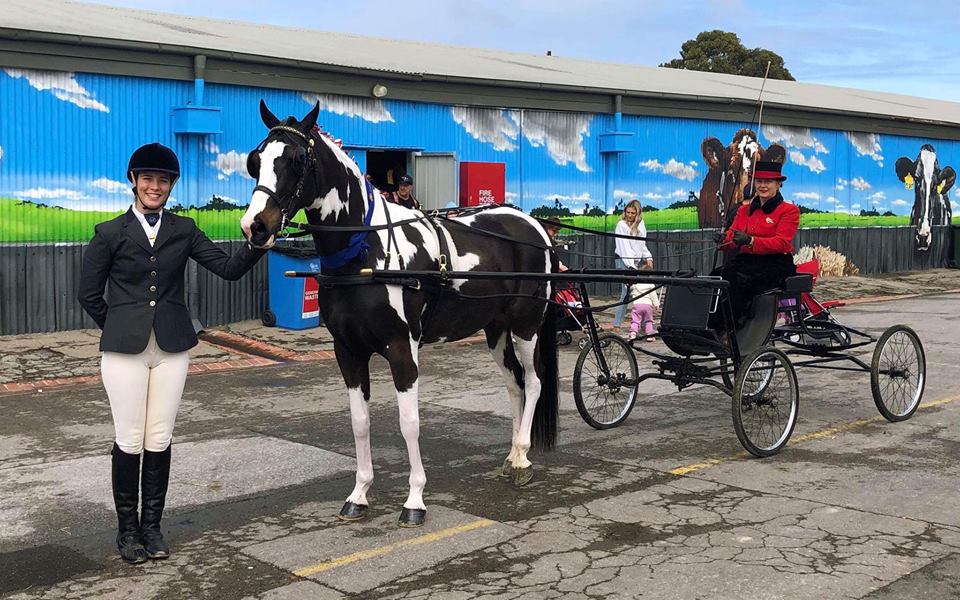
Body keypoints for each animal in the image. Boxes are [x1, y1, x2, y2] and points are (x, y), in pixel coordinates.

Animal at [237, 101, 560, 528]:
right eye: (255, 161)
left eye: (296, 160)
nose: (254, 227)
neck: (366, 251)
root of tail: (534, 226)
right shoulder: (349, 352)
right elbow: (359, 422)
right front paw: (359, 494)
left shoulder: (402, 350)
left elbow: (409, 424)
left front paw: (415, 499)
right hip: (495, 332)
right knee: (515, 385)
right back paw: (513, 454)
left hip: (526, 326)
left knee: (535, 382)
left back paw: (523, 458)